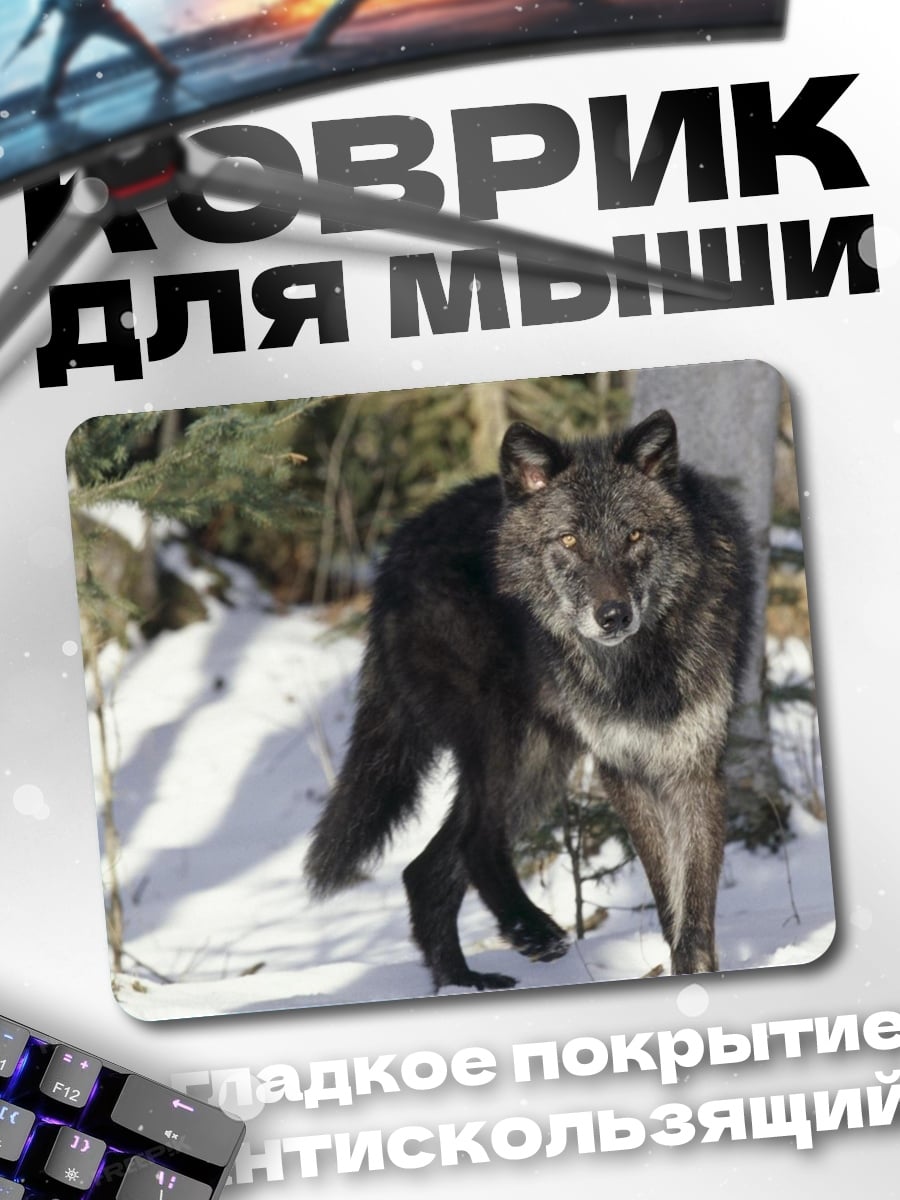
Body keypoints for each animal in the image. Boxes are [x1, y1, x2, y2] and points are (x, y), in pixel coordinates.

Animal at [305, 409, 756, 991]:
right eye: (568, 539)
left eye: (634, 535)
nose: (613, 616)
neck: (637, 669)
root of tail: (392, 559)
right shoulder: (622, 771)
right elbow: (666, 894)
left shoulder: (694, 767)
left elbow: (692, 906)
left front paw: (695, 972)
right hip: (503, 740)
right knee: (474, 842)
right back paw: (531, 931)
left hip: (540, 768)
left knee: (425, 869)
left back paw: (462, 981)